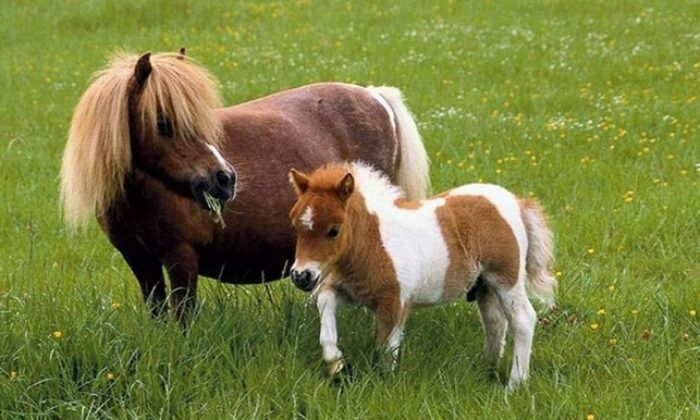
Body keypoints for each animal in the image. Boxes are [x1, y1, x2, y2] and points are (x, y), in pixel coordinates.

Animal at [61, 50, 430, 323]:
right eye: (163, 123)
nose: (225, 179)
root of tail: (375, 96)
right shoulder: (141, 262)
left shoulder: (181, 259)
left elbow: (183, 318)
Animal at [288, 162, 557, 390]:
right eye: (296, 226)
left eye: (334, 230)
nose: (301, 276)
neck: (375, 242)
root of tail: (517, 203)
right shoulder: (349, 291)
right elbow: (325, 308)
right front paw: (336, 364)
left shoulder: (394, 303)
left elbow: (386, 348)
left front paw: (384, 386)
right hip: (485, 286)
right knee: (495, 323)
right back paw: (486, 369)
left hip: (506, 279)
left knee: (523, 319)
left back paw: (514, 385)